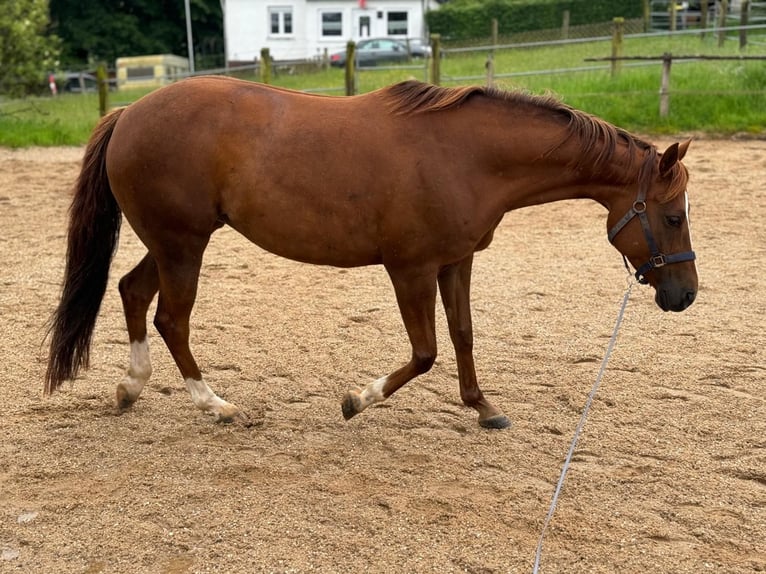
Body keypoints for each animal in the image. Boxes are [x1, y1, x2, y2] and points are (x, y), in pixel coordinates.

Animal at [45, 76, 700, 430]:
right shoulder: (410, 269)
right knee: (171, 319)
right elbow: (425, 352)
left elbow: (462, 336)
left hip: (173, 242)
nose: (685, 295)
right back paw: (217, 405)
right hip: (183, 244)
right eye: (673, 216)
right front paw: (357, 400)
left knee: (133, 293)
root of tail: (130, 112)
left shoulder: (456, 261)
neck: (466, 155)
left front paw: (482, 407)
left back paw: (132, 388)